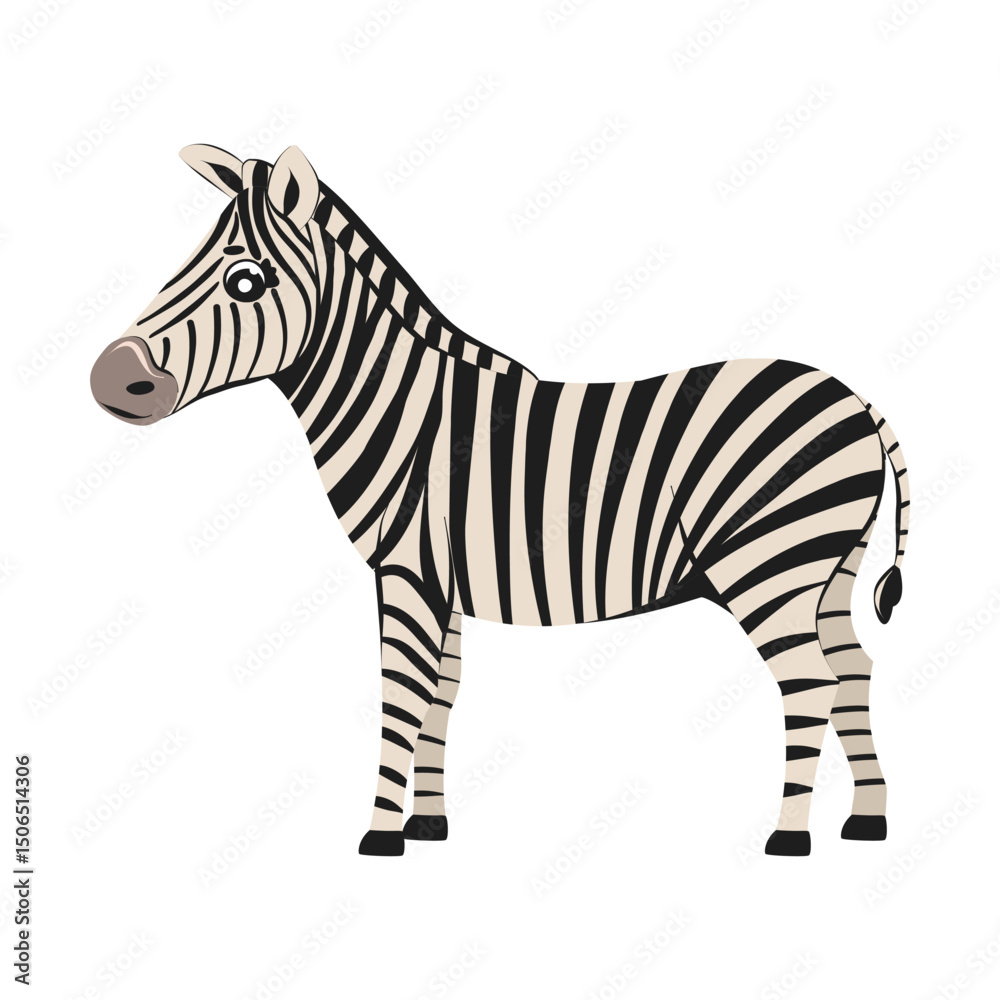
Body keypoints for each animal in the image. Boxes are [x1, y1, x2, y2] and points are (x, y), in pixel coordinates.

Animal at [91, 144, 909, 858]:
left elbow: (400, 694)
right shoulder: (440, 578)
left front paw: (380, 834)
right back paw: (867, 820)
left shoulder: (406, 571)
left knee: (811, 682)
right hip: (827, 572)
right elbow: (442, 695)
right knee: (855, 669)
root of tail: (860, 400)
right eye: (182, 266)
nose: (109, 381)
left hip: (769, 567)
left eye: (246, 282)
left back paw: (789, 836)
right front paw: (427, 825)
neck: (399, 406)